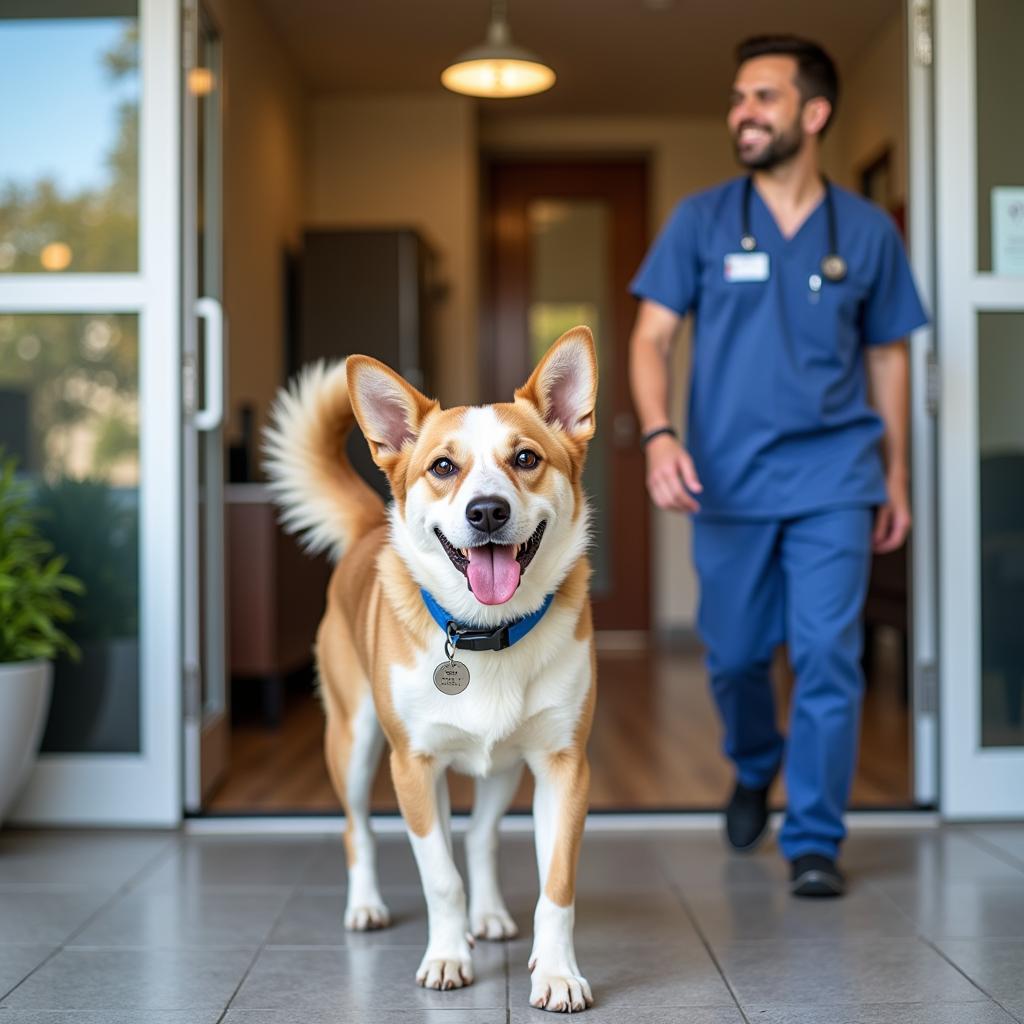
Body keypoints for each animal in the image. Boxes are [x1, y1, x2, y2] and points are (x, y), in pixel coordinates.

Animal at [264, 325, 598, 1007]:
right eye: (443, 467)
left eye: (526, 459)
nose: (488, 511)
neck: (485, 633)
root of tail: (369, 528)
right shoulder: (413, 768)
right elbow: (439, 877)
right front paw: (447, 957)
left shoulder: (564, 767)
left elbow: (556, 887)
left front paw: (555, 972)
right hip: (356, 744)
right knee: (359, 831)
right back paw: (367, 907)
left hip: (502, 768)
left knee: (478, 835)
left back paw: (488, 915)